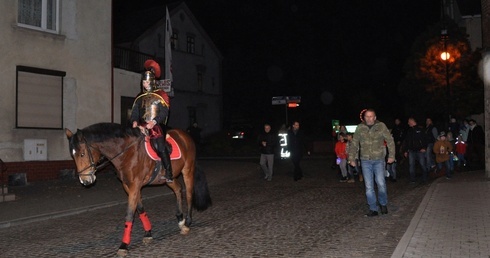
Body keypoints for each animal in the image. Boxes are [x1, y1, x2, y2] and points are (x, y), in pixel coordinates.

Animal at [65, 122, 211, 256]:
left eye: (82, 154)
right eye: (73, 155)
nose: (85, 180)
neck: (126, 152)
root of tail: (185, 135)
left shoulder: (135, 185)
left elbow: (129, 214)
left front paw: (123, 245)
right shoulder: (129, 186)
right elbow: (140, 209)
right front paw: (148, 233)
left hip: (188, 170)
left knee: (189, 193)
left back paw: (187, 223)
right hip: (168, 178)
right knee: (178, 189)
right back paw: (180, 220)